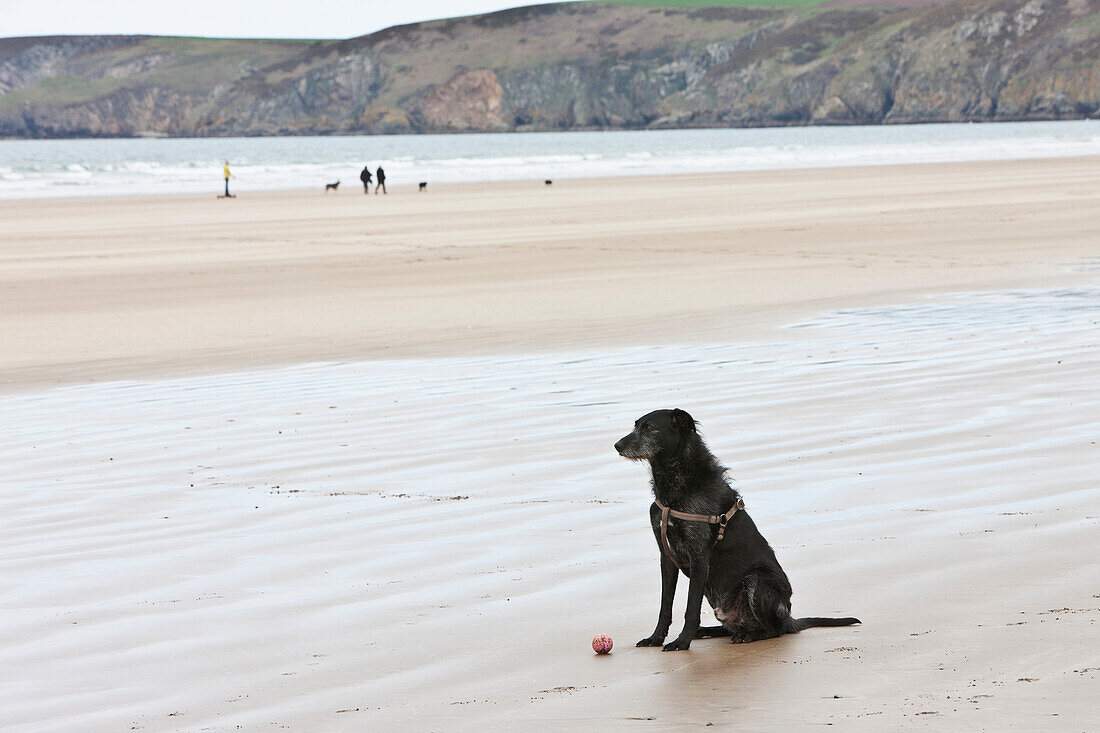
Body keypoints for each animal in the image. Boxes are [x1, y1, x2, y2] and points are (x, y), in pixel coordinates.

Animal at [611, 405, 858, 651]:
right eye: (636, 426)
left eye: (650, 427)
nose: (617, 446)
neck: (676, 487)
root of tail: (790, 620)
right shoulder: (667, 557)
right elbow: (665, 606)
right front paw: (656, 637)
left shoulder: (699, 556)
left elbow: (691, 608)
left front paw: (681, 641)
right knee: (731, 627)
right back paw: (709, 631)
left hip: (757, 581)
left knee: (773, 630)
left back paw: (748, 635)